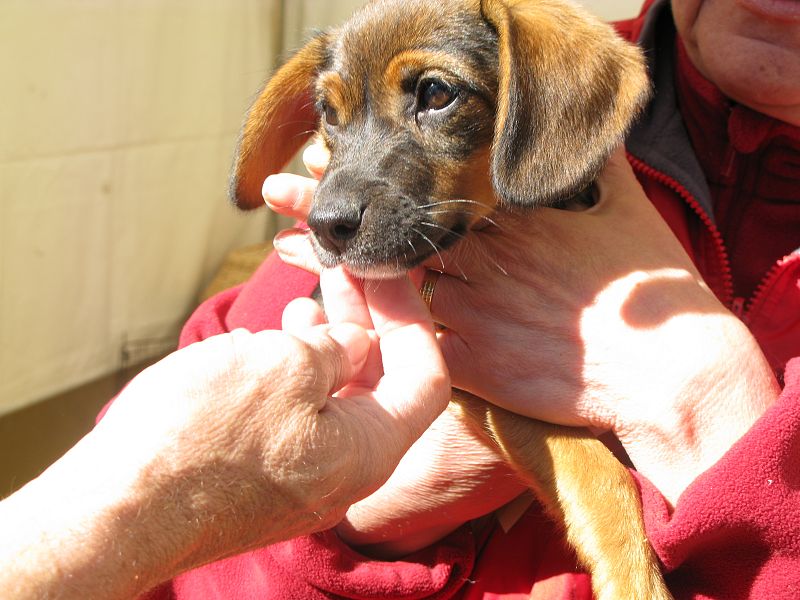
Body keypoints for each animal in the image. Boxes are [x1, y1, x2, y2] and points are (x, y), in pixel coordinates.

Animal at [227, 1, 668, 600]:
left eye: (436, 93)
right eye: (327, 113)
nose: (324, 225)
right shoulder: (491, 387)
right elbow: (601, 471)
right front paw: (634, 579)